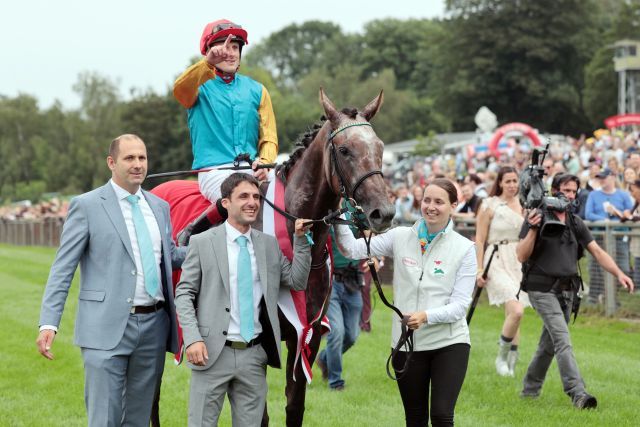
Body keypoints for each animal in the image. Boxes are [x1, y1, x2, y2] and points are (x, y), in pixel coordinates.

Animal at [152, 88, 398, 426]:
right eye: (345, 149)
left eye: (380, 147)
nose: (382, 212)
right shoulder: (259, 334)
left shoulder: (306, 333)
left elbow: (294, 406)